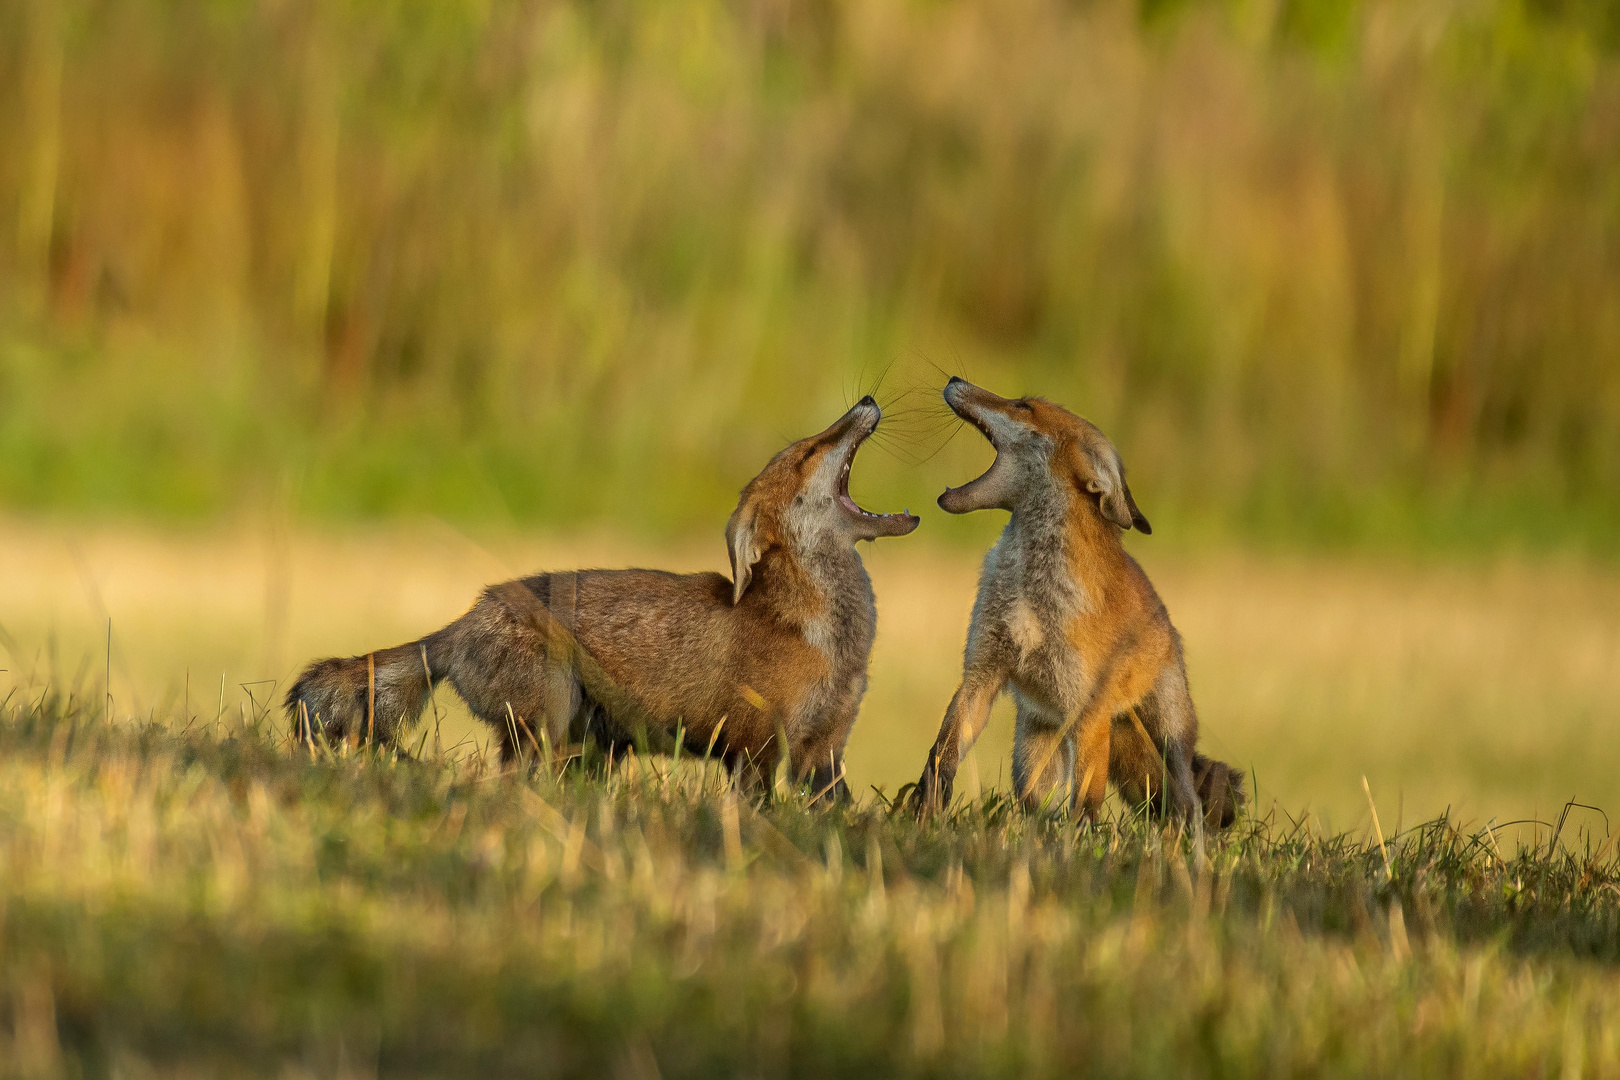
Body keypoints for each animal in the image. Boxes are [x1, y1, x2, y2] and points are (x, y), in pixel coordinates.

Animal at [285, 396, 920, 793]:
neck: (823, 638)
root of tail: (472, 610)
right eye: (808, 453)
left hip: (592, 748)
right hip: (549, 722)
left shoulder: (825, 753)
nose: (866, 398)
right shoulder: (754, 749)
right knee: (504, 781)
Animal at [913, 380, 1237, 829]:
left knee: (1186, 801)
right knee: (1036, 807)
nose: (954, 381)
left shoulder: (1089, 710)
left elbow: (1085, 805)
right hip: (1033, 749)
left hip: (1169, 734)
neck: (1029, 591)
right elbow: (941, 754)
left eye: (1023, 406)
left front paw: (1080, 843)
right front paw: (924, 811)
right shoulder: (981, 672)